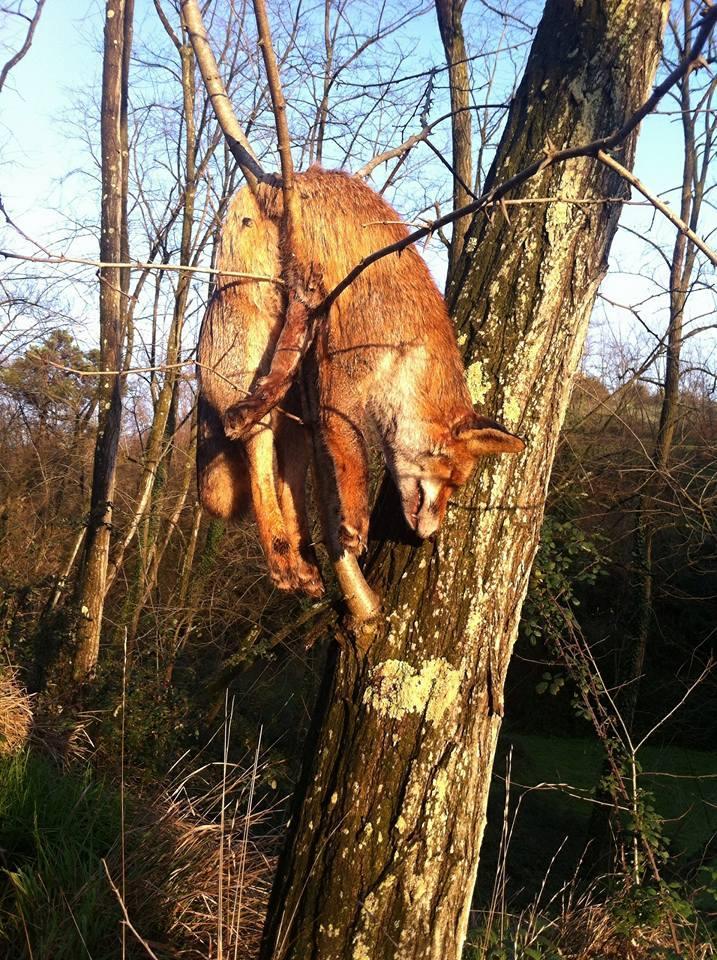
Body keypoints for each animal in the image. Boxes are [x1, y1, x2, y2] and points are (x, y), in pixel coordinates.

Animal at [197, 166, 524, 596]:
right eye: (451, 479)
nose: (428, 537)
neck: (407, 347)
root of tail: (279, 177)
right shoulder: (342, 383)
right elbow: (356, 458)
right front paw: (356, 521)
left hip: (297, 410)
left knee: (290, 484)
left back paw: (304, 564)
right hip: (250, 353)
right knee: (259, 468)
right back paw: (281, 557)